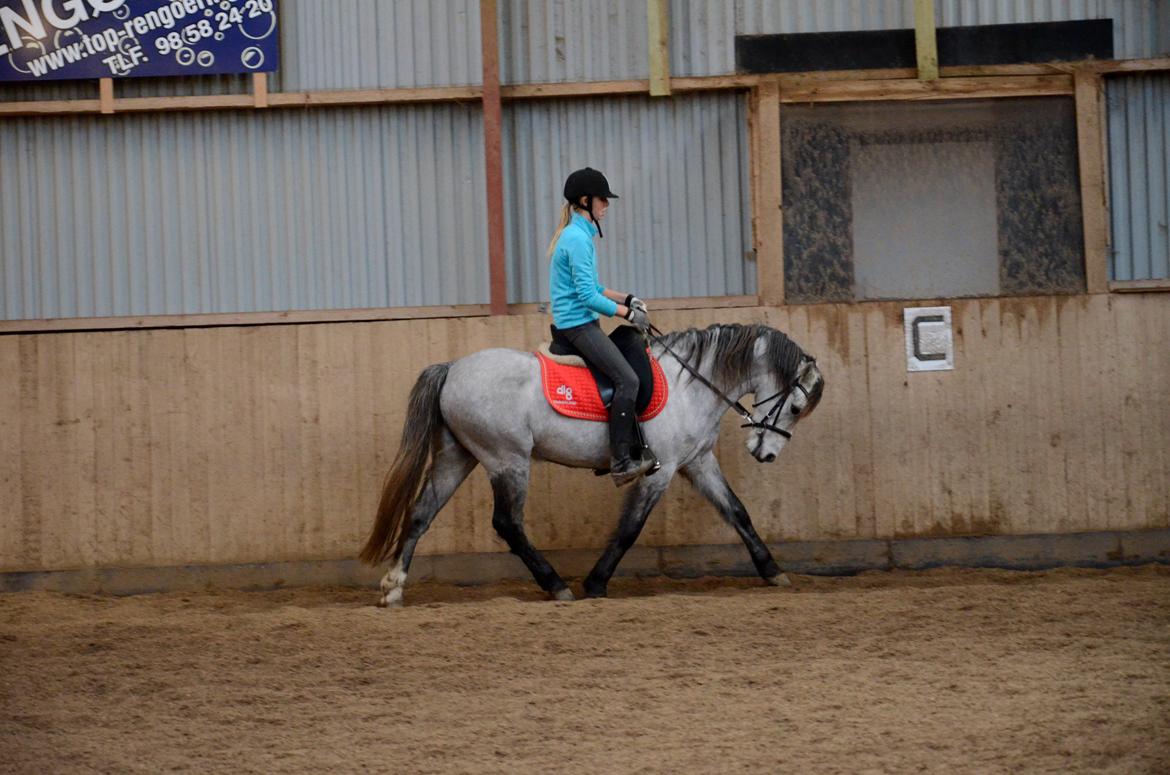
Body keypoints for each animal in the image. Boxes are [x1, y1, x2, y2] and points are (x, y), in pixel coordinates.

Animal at [359, 322, 825, 607]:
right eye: (795, 406)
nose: (766, 454)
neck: (690, 384)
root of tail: (452, 368)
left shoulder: (697, 462)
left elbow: (738, 513)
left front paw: (773, 572)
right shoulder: (662, 470)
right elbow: (629, 529)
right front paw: (596, 582)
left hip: (458, 456)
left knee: (421, 514)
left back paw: (393, 588)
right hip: (507, 460)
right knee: (508, 524)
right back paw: (556, 586)